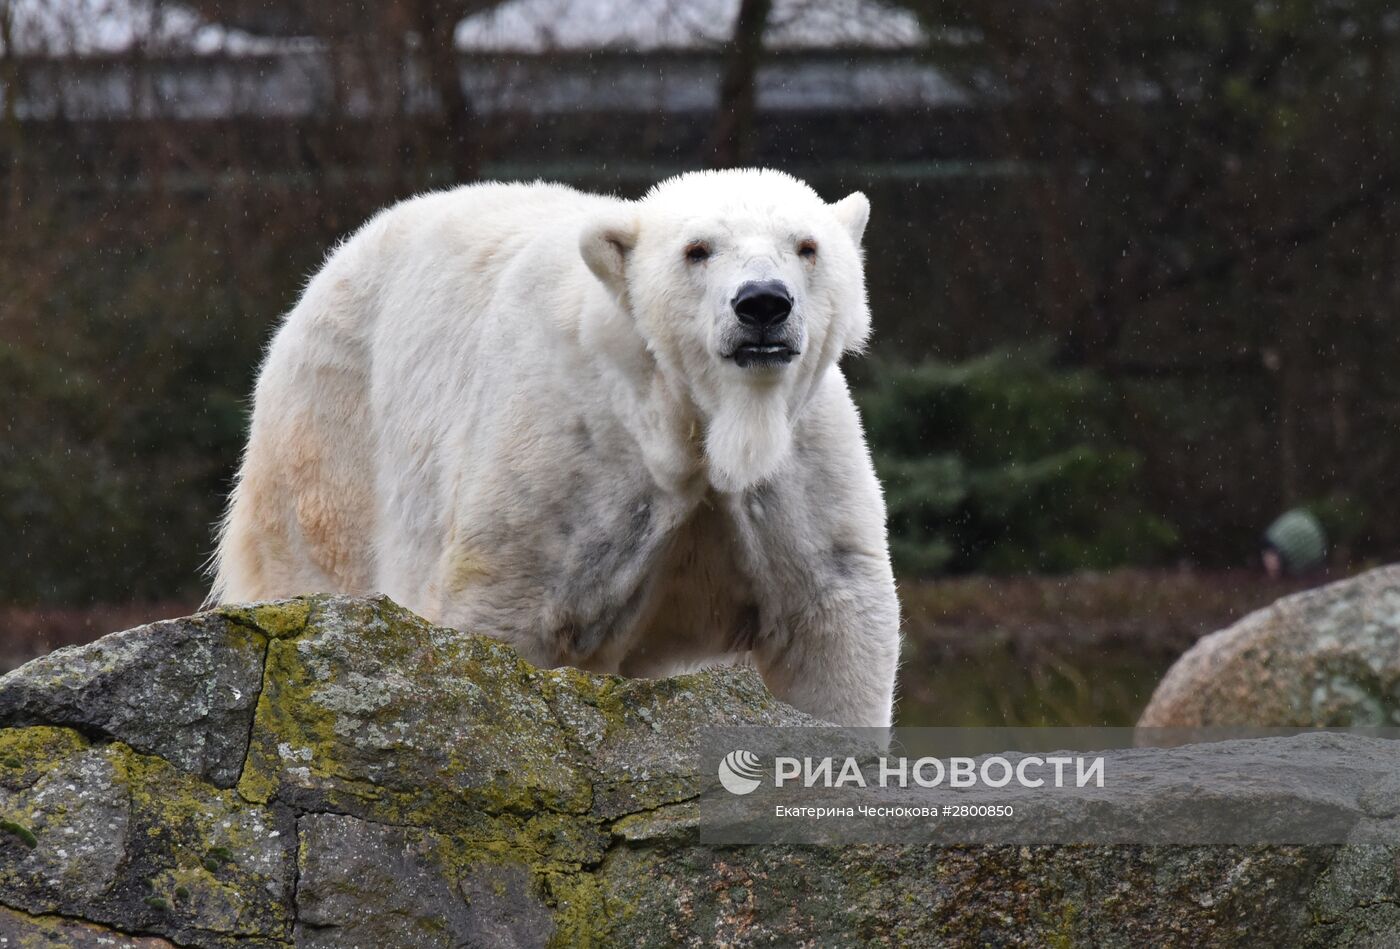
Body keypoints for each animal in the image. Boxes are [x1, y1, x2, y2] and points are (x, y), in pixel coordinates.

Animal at [212, 169, 901, 727]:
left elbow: (830, 620)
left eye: (807, 246)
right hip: (332, 437)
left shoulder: (796, 466)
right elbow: (504, 609)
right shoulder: (568, 456)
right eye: (697, 250)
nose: (762, 303)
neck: (685, 416)